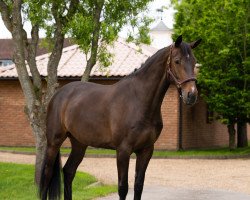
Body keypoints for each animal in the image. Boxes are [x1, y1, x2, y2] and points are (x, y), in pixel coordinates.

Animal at [39, 36, 201, 200]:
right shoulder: (123, 150)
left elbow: (138, 186)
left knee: (68, 172)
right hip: (54, 142)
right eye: (177, 61)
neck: (138, 101)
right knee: (47, 175)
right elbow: (123, 187)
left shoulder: (146, 150)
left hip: (79, 143)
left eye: (194, 61)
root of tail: (58, 95)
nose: (191, 95)